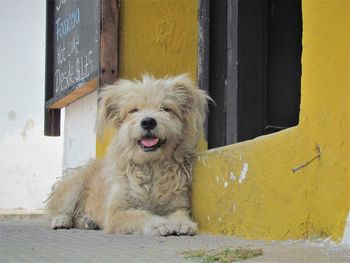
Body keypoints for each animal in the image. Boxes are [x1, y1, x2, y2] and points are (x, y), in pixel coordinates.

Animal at [46, 74, 211, 237]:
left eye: (166, 109)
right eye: (133, 110)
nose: (148, 122)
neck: (151, 166)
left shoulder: (177, 204)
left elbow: (179, 213)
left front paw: (183, 223)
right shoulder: (116, 213)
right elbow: (139, 215)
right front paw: (159, 224)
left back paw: (88, 221)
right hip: (74, 184)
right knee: (61, 210)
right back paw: (62, 220)